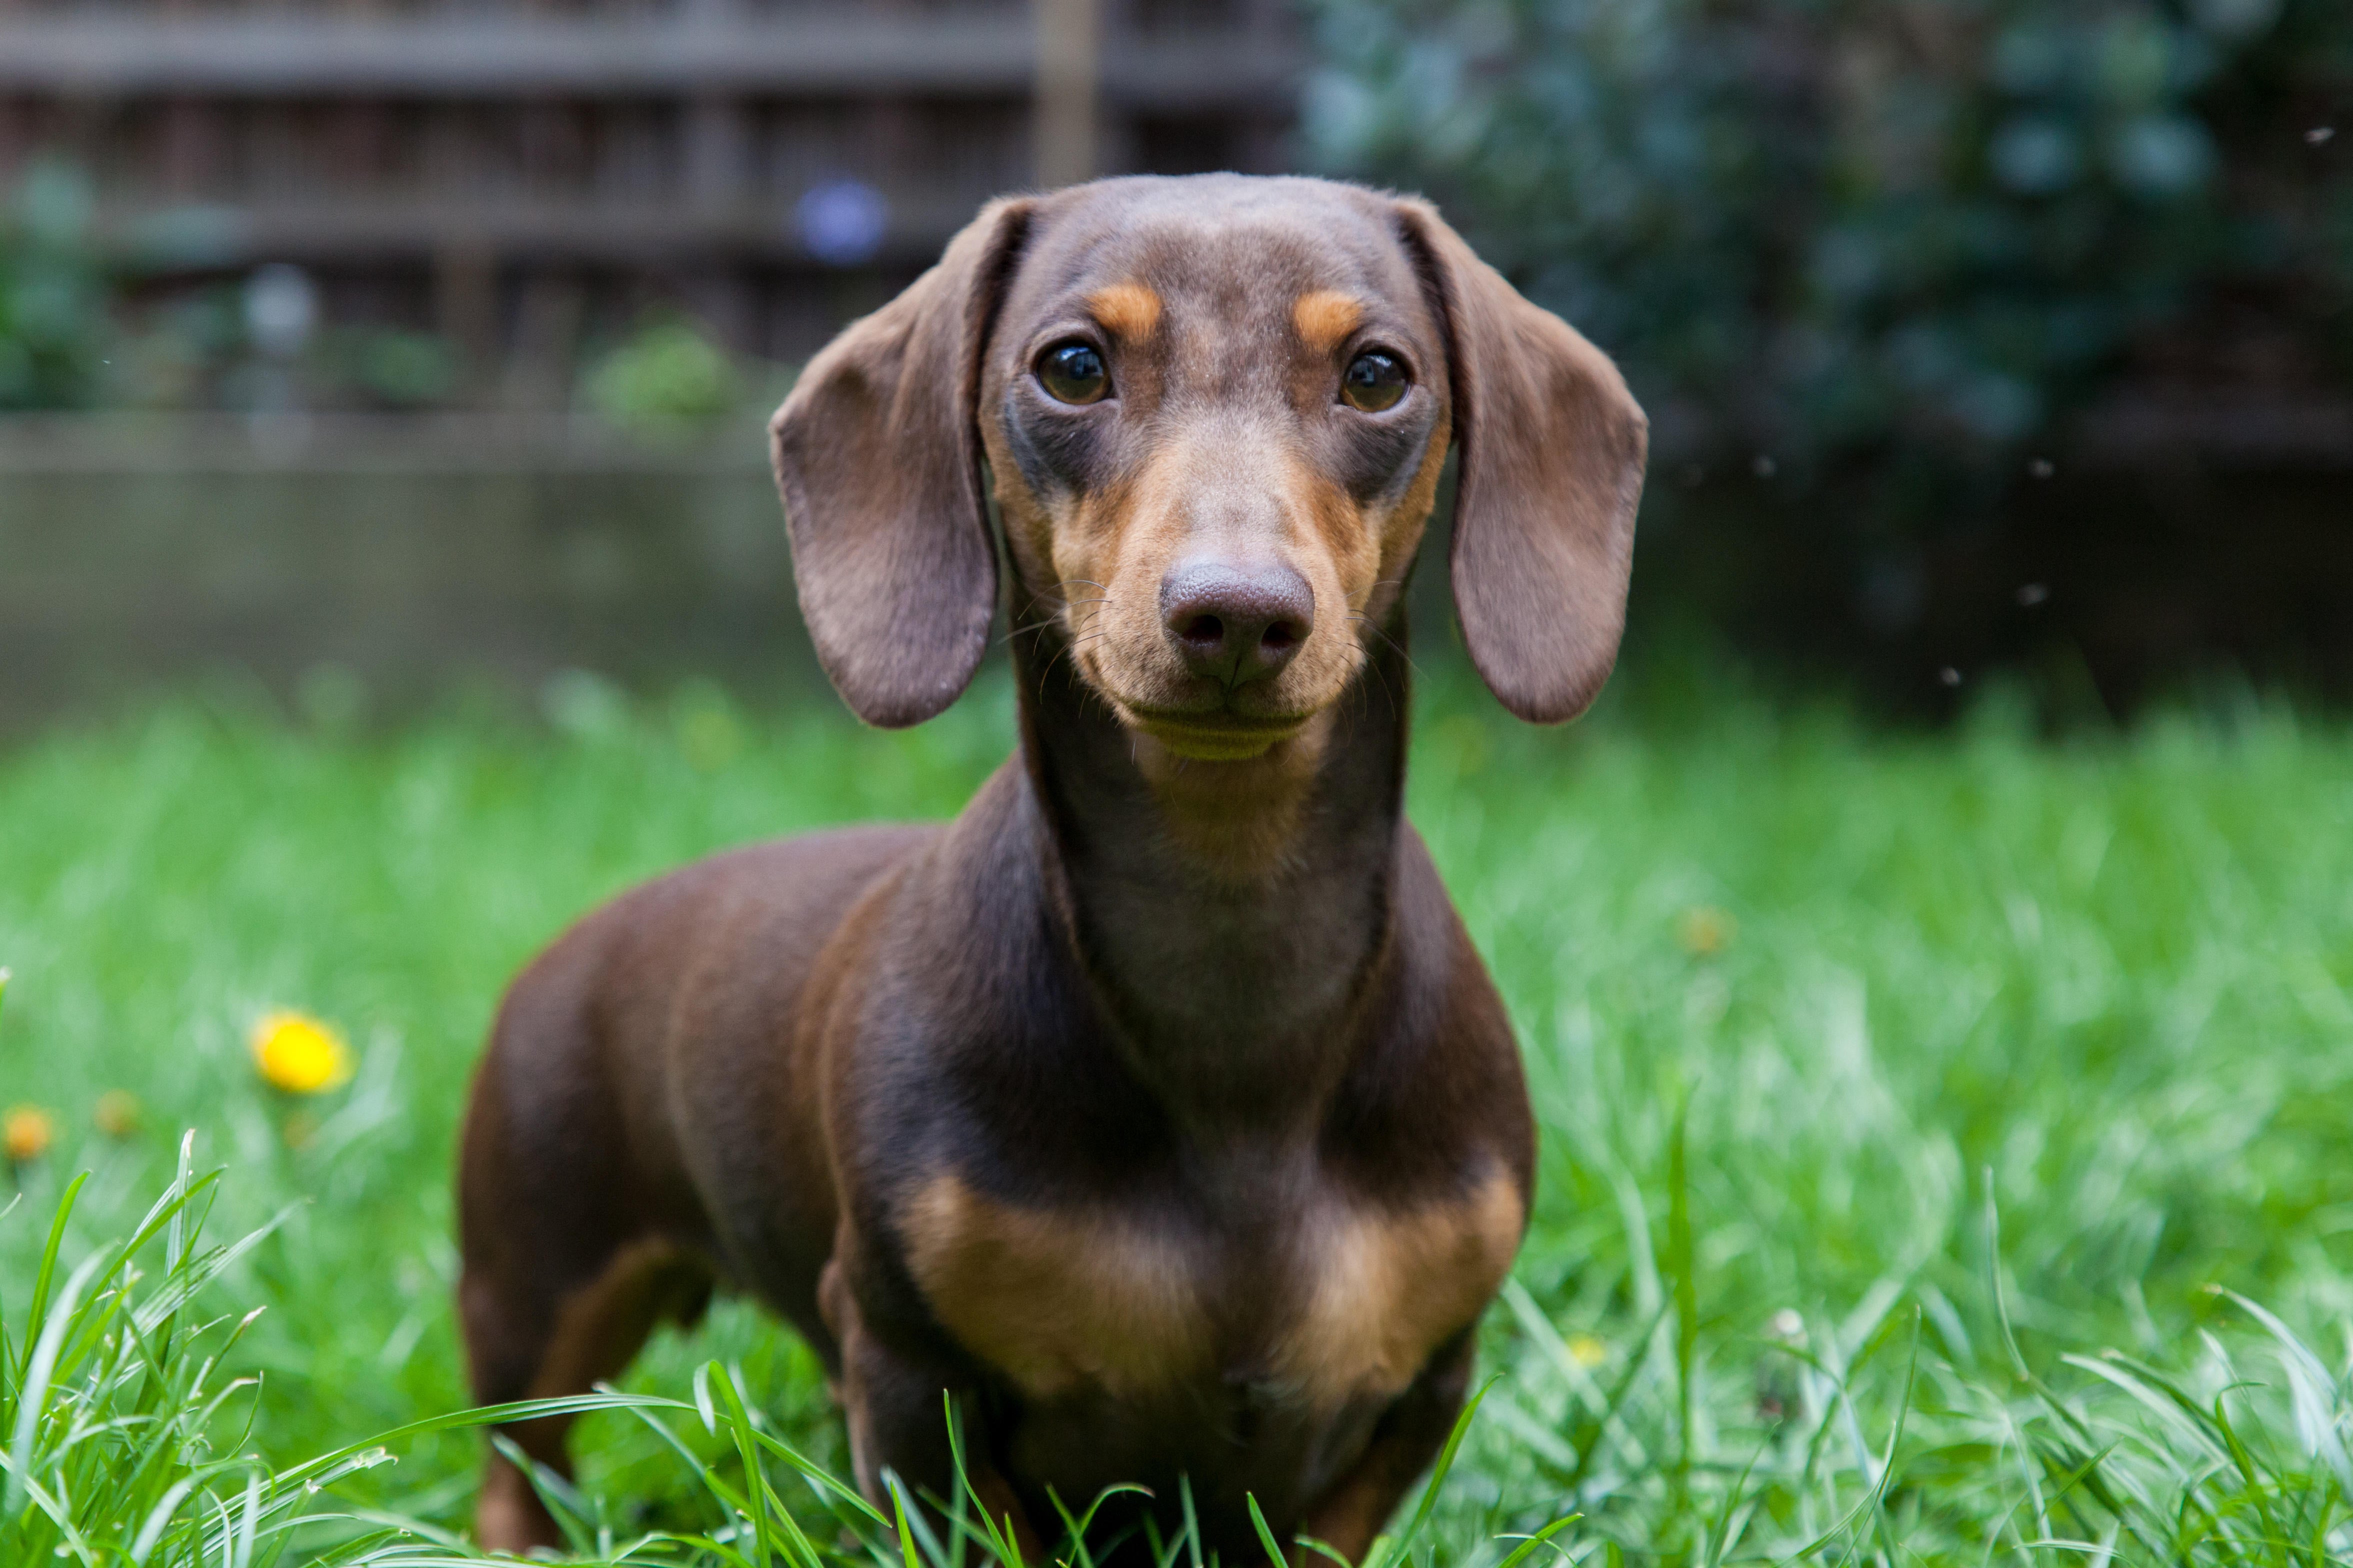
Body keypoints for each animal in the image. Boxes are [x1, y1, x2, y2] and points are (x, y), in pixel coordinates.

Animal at [454, 169, 1638, 1561]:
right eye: (1072, 366)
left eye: (1377, 374)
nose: (1237, 612)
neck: (1234, 983)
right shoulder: (913, 1381)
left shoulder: (1420, 1390)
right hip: (533, 1291)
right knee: (513, 1470)